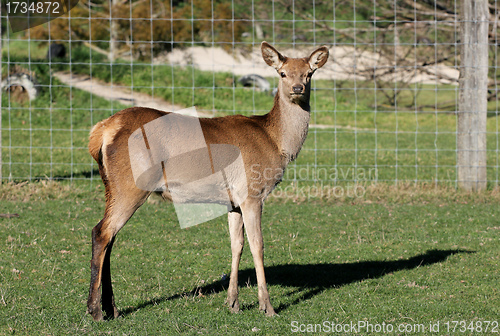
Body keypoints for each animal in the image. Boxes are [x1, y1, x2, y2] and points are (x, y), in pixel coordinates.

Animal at [86, 42, 328, 320]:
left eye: (309, 73)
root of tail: (101, 131)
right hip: (130, 184)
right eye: (282, 73)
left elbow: (236, 245)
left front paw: (232, 302)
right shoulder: (252, 192)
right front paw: (267, 306)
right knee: (102, 232)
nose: (298, 88)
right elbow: (258, 245)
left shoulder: (233, 201)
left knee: (110, 236)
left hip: (111, 185)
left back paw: (111, 308)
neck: (276, 143)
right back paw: (95, 310)